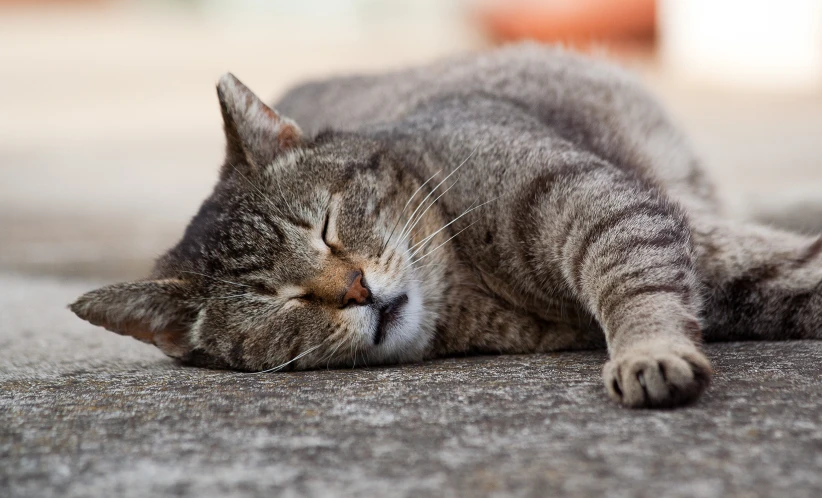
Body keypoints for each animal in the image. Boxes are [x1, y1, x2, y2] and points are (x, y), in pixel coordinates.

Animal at [71, 42, 822, 408]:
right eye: (276, 301)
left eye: (325, 226)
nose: (355, 290)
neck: (470, 284)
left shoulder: (599, 204)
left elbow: (636, 286)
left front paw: (647, 352)